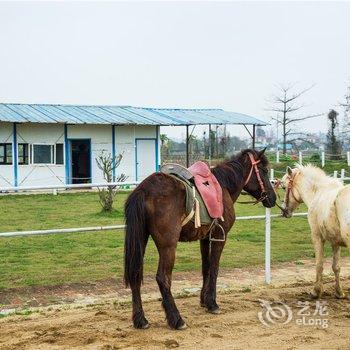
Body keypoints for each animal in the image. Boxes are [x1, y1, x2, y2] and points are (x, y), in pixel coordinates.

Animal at [124, 149, 274, 330]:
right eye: (264, 171)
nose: (272, 198)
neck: (223, 186)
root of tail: (144, 190)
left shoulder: (205, 237)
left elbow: (206, 268)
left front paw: (204, 300)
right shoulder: (219, 237)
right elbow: (215, 268)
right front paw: (212, 303)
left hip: (140, 240)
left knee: (135, 274)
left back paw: (140, 320)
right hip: (168, 246)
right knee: (163, 278)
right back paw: (176, 319)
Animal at [282, 164, 350, 298]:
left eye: (284, 187)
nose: (284, 211)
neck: (318, 194)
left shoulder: (317, 237)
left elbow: (319, 264)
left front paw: (316, 291)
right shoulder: (335, 241)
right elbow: (336, 267)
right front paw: (339, 292)